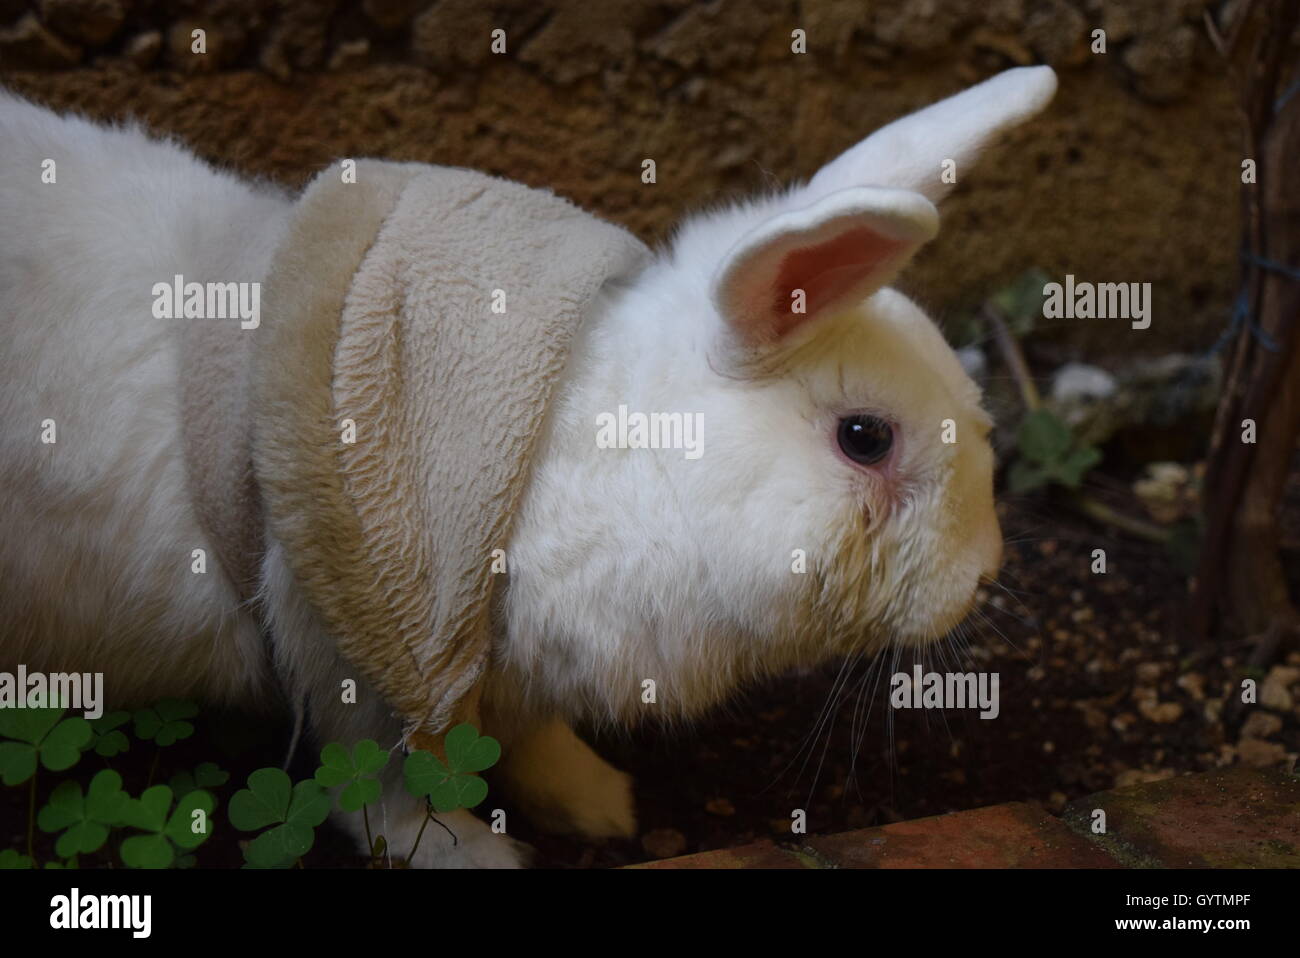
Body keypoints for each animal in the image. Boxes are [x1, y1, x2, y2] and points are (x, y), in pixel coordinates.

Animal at [0, 63, 1055, 863]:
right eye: (865, 438)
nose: (984, 575)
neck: (620, 451)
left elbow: (536, 743)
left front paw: (599, 804)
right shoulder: (359, 649)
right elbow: (387, 792)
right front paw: (478, 854)